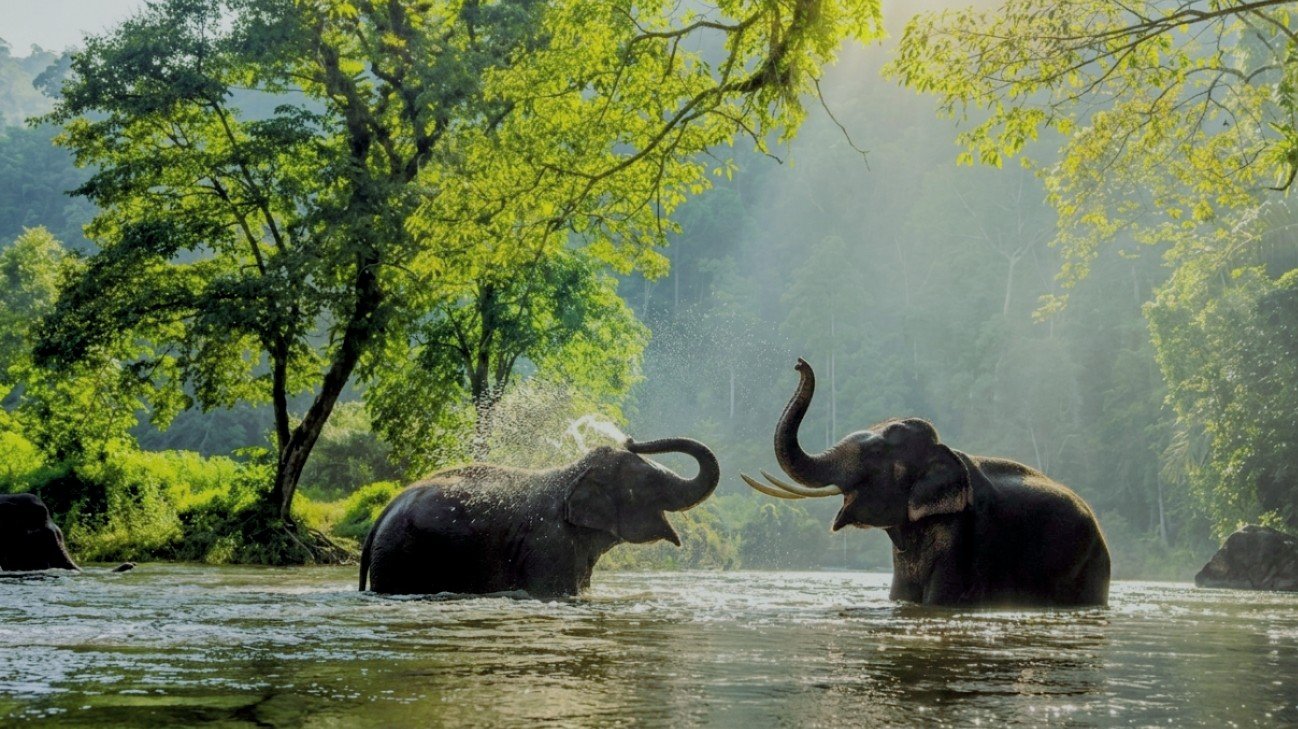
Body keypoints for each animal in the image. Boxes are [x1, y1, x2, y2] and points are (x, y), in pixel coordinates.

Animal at [360, 436, 720, 597]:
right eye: (648, 482)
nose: (630, 439)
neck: (572, 473)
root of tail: (381, 515)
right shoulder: (550, 545)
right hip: (399, 556)